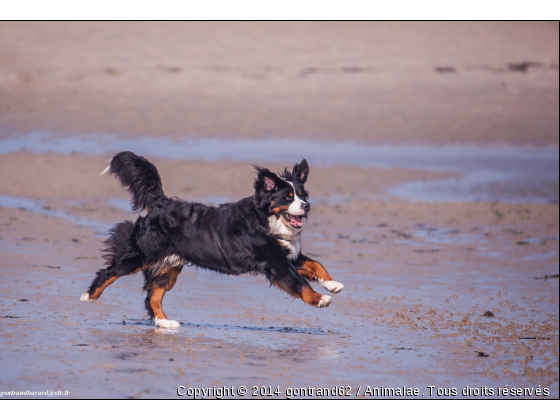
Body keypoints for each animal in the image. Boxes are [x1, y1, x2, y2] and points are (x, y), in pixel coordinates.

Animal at [80, 151, 344, 328]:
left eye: (302, 195)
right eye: (288, 197)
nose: (307, 206)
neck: (266, 221)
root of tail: (161, 202)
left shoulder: (289, 254)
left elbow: (315, 264)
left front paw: (332, 284)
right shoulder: (274, 262)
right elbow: (300, 283)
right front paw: (320, 298)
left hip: (168, 266)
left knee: (153, 296)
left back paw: (165, 322)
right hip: (143, 255)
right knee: (109, 272)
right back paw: (89, 296)